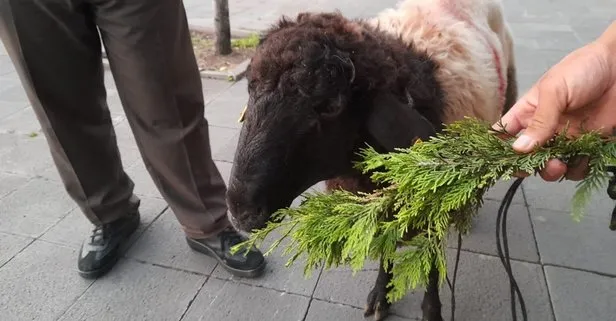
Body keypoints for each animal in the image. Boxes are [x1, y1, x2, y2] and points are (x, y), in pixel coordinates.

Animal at [225, 1, 516, 318]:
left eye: (330, 107)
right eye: (251, 88)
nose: (241, 212)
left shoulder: (432, 205)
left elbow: (430, 265)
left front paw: (431, 311)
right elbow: (385, 247)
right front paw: (381, 296)